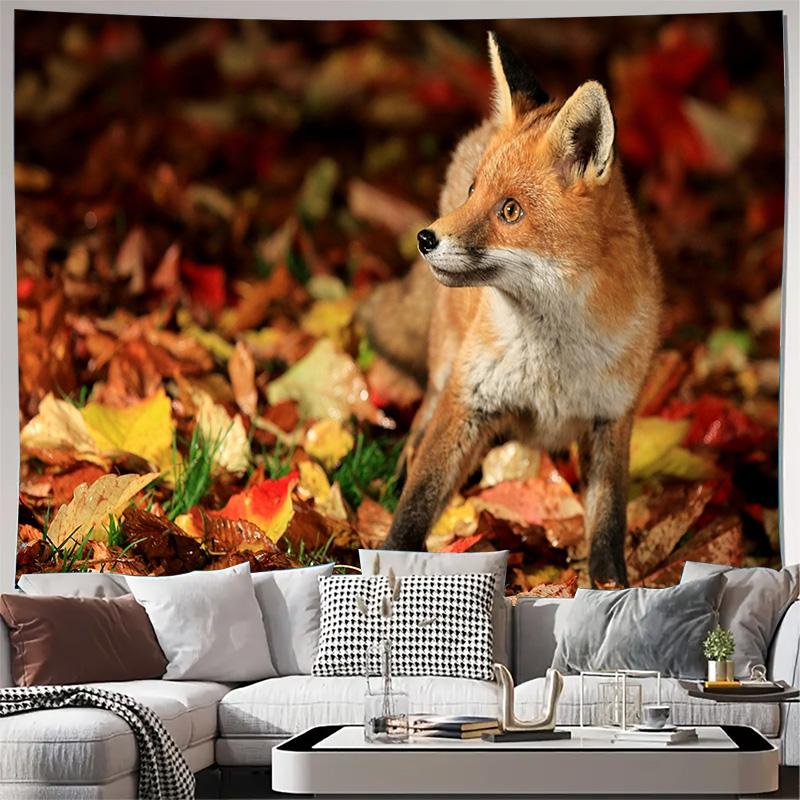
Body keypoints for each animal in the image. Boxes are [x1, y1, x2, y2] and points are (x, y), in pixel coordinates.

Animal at [359, 32, 662, 588]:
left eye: (511, 211)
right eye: (474, 191)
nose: (425, 238)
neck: (552, 363)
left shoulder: (611, 417)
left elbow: (609, 523)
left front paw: (612, 587)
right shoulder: (468, 398)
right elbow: (420, 497)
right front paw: (390, 559)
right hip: (447, 363)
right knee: (423, 418)